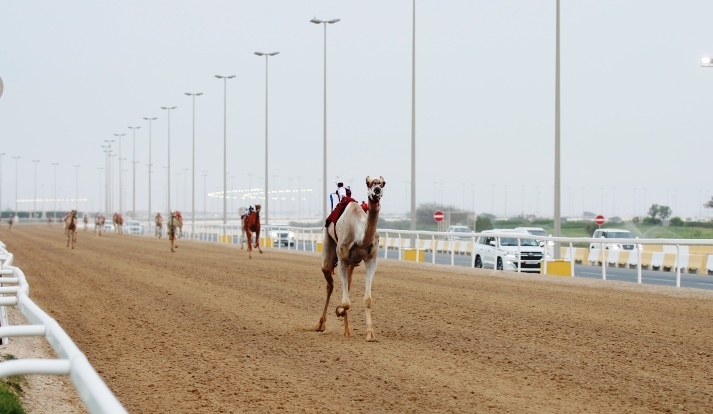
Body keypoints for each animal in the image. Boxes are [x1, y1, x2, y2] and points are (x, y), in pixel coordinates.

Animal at [314, 175, 386, 340]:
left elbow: (367, 299)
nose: (377, 191)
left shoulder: (371, 259)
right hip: (329, 248)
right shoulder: (342, 259)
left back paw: (347, 330)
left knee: (347, 285)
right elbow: (346, 302)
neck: (359, 236)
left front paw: (370, 333)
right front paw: (339, 311)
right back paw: (321, 324)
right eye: (368, 183)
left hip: (353, 264)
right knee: (329, 283)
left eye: (383, 183)